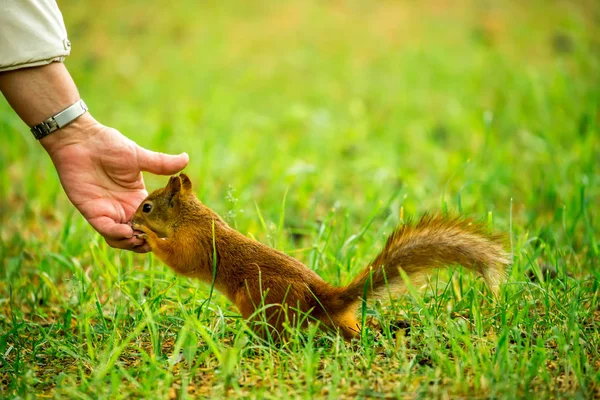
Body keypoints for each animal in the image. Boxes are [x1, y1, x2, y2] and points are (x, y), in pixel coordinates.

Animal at [132, 173, 510, 340]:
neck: (191, 216)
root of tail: (323, 298)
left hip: (259, 300)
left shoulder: (194, 243)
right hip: (333, 318)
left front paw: (148, 237)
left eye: (147, 206)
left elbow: (178, 260)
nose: (134, 219)